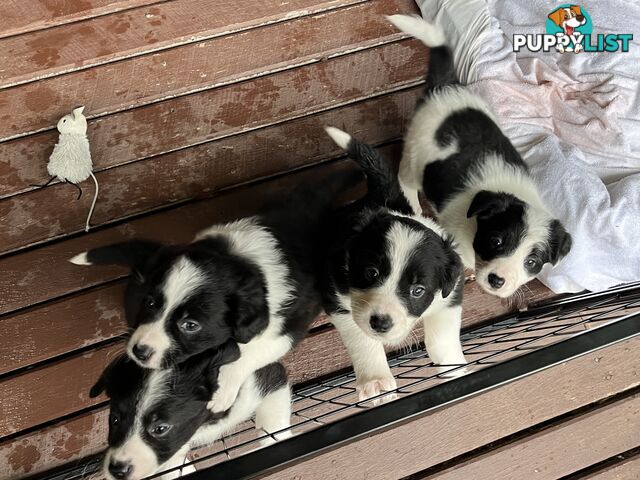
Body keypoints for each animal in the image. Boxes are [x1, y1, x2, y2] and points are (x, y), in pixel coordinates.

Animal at [74, 172, 360, 412]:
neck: (244, 262)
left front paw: (221, 393)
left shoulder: (287, 329)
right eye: (152, 303)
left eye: (190, 325)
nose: (140, 352)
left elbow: (247, 354)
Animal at [320, 125, 464, 400]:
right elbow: (362, 338)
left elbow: (442, 337)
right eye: (371, 273)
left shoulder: (450, 293)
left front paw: (454, 367)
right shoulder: (336, 298)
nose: (381, 323)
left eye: (417, 290)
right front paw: (375, 383)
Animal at [388, 14, 572, 300]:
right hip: (415, 155)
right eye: (495, 241)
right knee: (406, 178)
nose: (497, 280)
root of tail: (446, 88)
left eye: (531, 262)